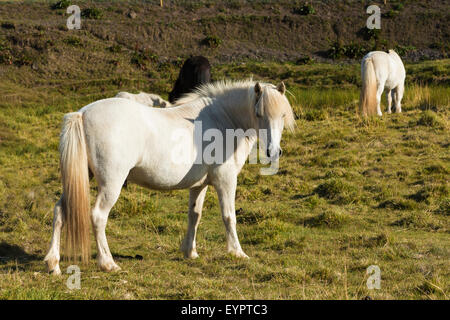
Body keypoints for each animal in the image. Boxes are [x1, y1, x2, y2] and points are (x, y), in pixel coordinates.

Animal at [43, 80, 296, 276]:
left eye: (282, 115)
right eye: (259, 114)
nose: (273, 152)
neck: (223, 119)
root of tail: (82, 114)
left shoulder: (199, 185)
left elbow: (194, 215)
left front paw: (190, 252)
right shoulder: (225, 180)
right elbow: (229, 217)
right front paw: (237, 252)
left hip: (78, 179)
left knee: (60, 211)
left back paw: (53, 264)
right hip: (110, 184)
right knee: (97, 216)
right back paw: (108, 263)